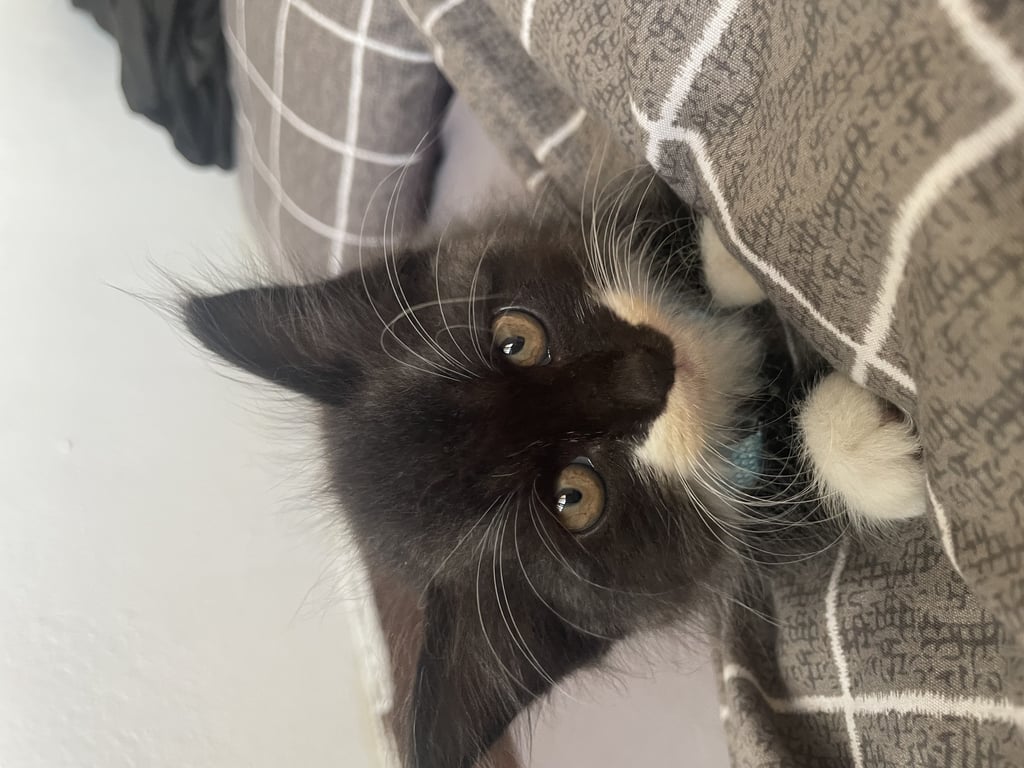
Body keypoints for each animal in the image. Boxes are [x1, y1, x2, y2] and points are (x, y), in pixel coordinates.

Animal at [183, 202, 924, 768]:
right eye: (574, 499)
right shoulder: (737, 550)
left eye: (515, 340)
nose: (650, 369)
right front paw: (866, 447)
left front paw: (725, 255)